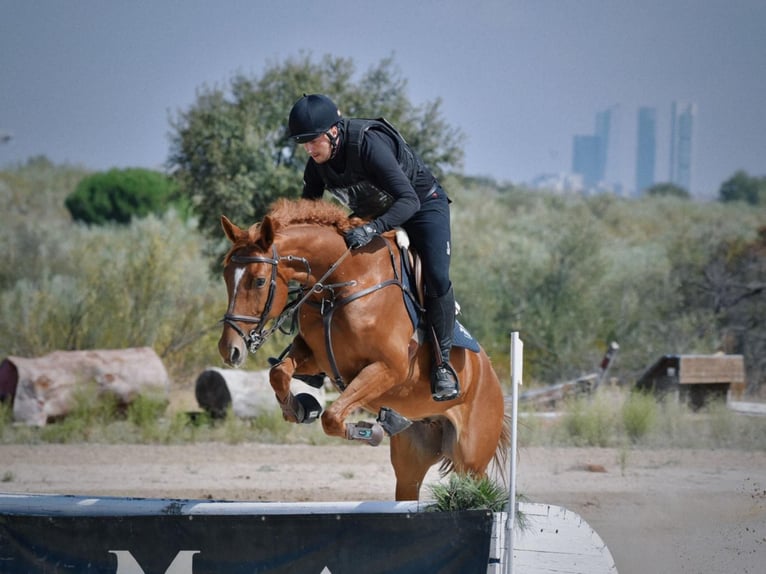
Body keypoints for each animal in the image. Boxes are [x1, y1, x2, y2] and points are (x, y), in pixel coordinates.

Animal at [219, 200, 510, 502]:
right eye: (226, 275)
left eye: (259, 281)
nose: (230, 349)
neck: (344, 283)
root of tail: (492, 377)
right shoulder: (317, 357)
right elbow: (278, 373)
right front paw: (298, 409)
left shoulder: (388, 369)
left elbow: (332, 417)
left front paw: (367, 431)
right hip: (411, 460)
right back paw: (395, 420)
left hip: (471, 460)